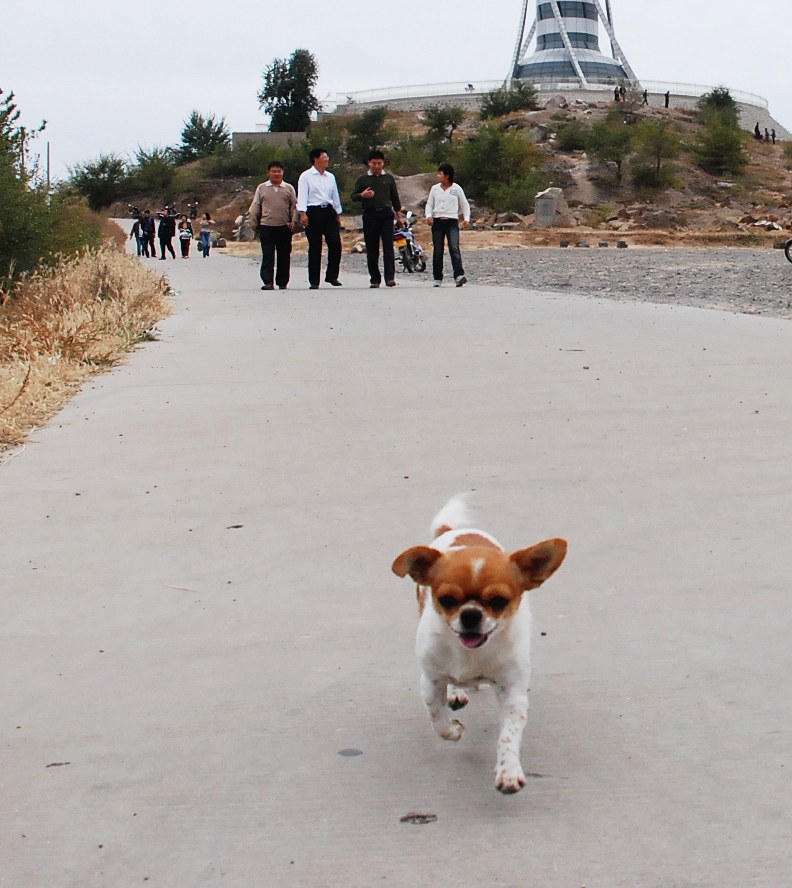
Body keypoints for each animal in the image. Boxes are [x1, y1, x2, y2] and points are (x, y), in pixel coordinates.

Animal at [392, 496, 568, 796]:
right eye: (446, 599)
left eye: (499, 601)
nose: (471, 615)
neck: (470, 654)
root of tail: (455, 531)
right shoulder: (431, 680)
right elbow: (438, 718)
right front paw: (453, 730)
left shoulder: (513, 693)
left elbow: (508, 736)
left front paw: (509, 771)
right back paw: (456, 692)